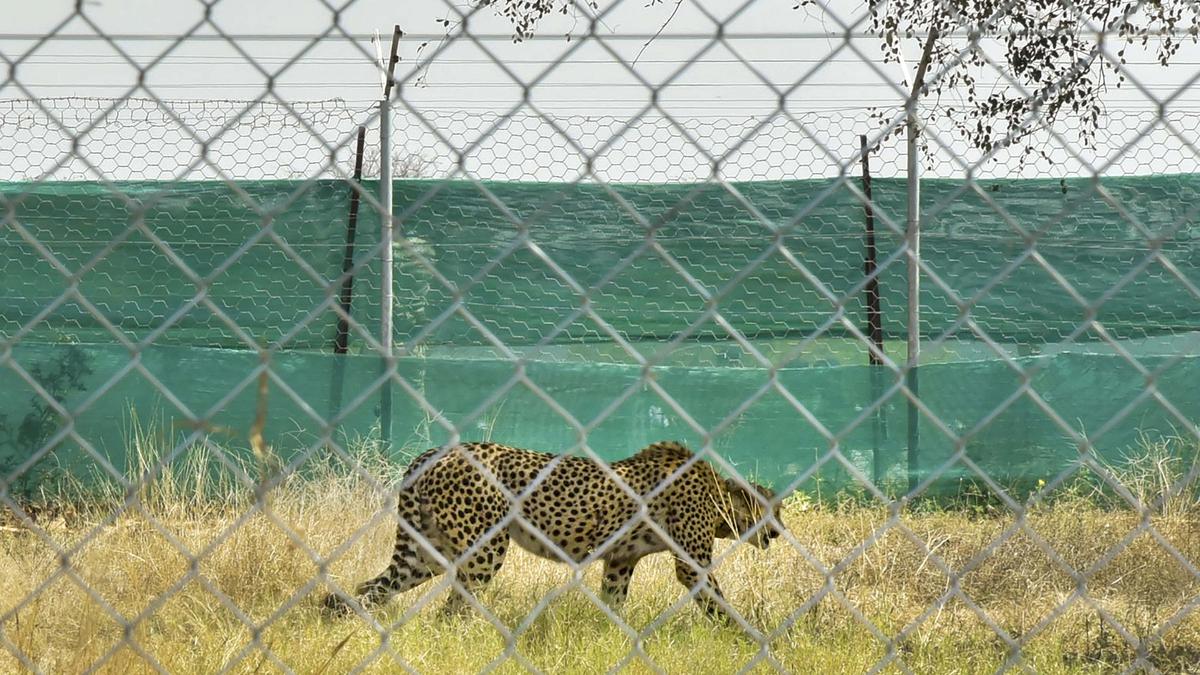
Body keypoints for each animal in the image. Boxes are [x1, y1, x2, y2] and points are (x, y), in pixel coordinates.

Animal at [321, 439, 787, 619]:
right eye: (774, 511)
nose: (780, 532)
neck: (718, 493)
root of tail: (437, 451)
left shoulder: (620, 559)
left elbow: (613, 603)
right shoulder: (692, 565)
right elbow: (719, 603)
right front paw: (747, 637)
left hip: (425, 554)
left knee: (370, 588)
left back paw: (343, 619)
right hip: (484, 550)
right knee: (453, 609)